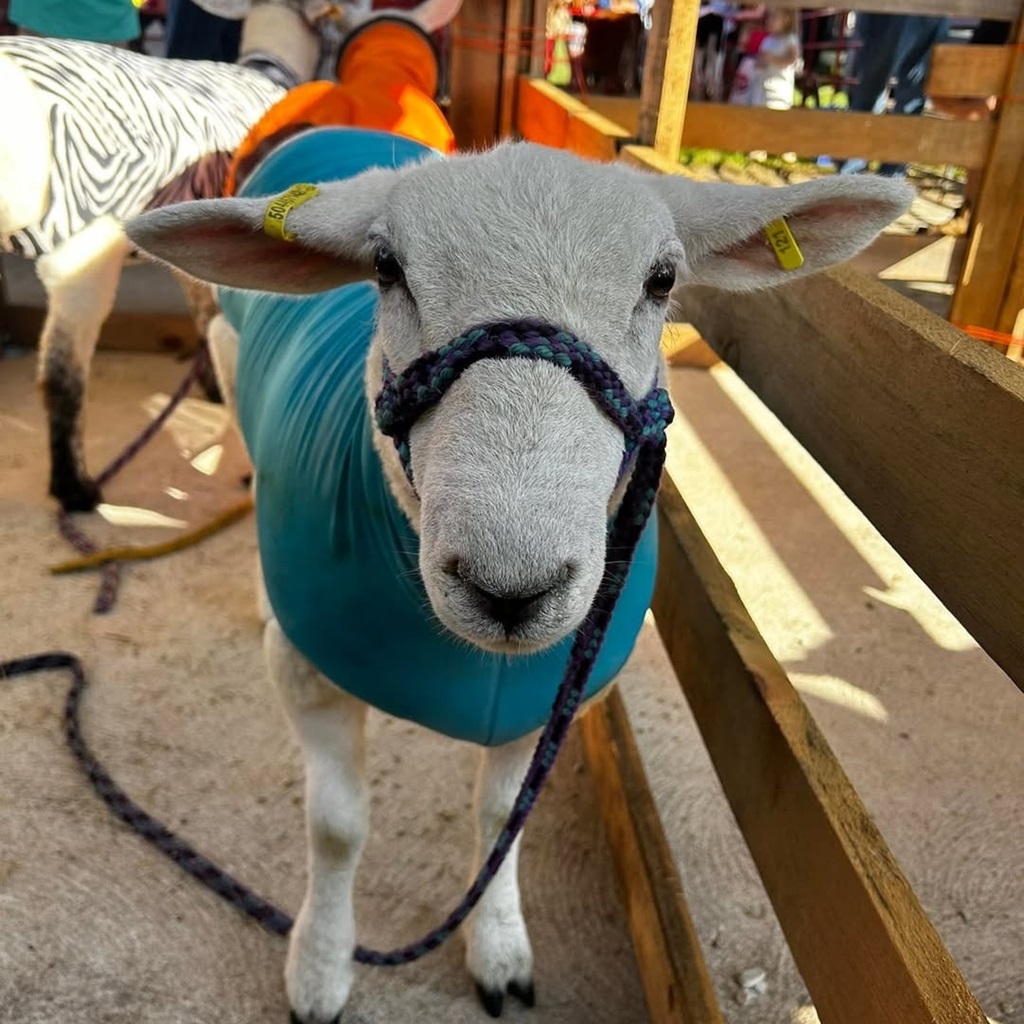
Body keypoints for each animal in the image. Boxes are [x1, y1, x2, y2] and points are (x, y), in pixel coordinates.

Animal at [125, 128, 912, 1022]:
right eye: (387, 269)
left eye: (662, 280)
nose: (509, 587)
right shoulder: (306, 672)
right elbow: (337, 828)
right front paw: (321, 966)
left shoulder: (554, 695)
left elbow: (504, 815)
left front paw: (498, 949)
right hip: (225, 354)